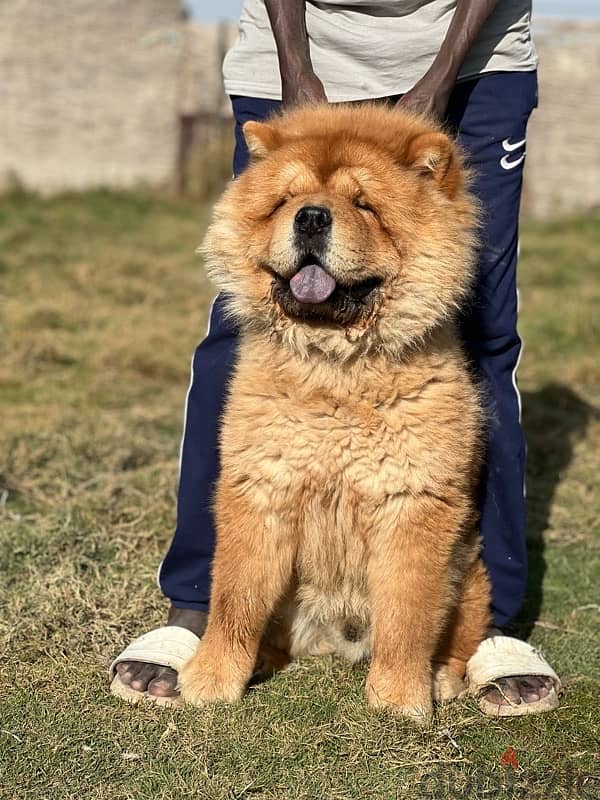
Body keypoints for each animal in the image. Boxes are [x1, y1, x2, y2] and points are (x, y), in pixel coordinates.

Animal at [179, 103, 492, 720]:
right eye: (286, 199)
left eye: (364, 204)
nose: (311, 217)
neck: (336, 370)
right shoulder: (262, 488)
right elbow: (234, 599)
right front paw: (210, 682)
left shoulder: (413, 504)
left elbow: (407, 617)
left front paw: (399, 701)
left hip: (471, 573)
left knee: (460, 634)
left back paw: (444, 678)